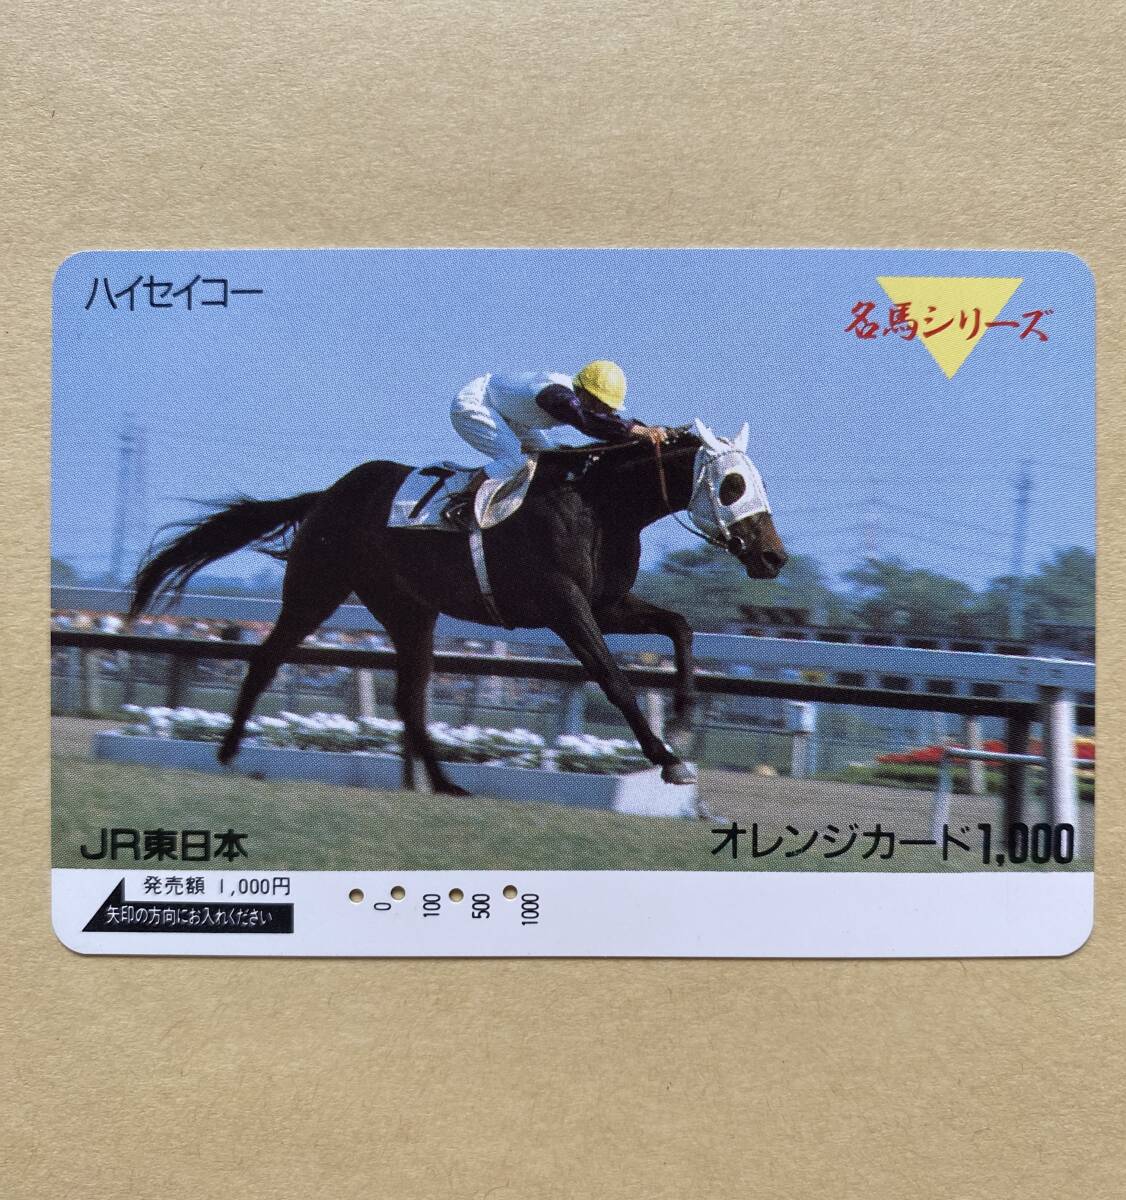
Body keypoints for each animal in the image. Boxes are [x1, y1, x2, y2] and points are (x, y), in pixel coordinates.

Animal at [129, 420, 787, 794]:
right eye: (732, 484)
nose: (774, 556)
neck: (600, 502)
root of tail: (329, 495)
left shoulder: (606, 601)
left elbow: (679, 625)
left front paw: (683, 715)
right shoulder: (564, 605)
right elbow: (613, 678)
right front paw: (669, 759)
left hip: (409, 610)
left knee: (410, 696)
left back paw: (445, 783)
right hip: (316, 589)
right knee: (267, 659)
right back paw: (226, 753)